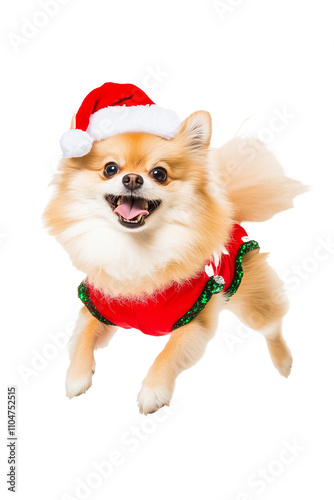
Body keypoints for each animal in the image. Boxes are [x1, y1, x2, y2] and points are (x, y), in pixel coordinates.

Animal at [43, 82, 304, 414]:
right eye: (110, 169)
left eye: (159, 174)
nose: (132, 178)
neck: (136, 248)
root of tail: (230, 214)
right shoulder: (99, 307)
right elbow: (82, 337)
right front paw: (77, 376)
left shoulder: (195, 317)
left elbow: (167, 354)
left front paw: (153, 391)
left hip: (252, 301)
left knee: (273, 327)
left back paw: (284, 362)